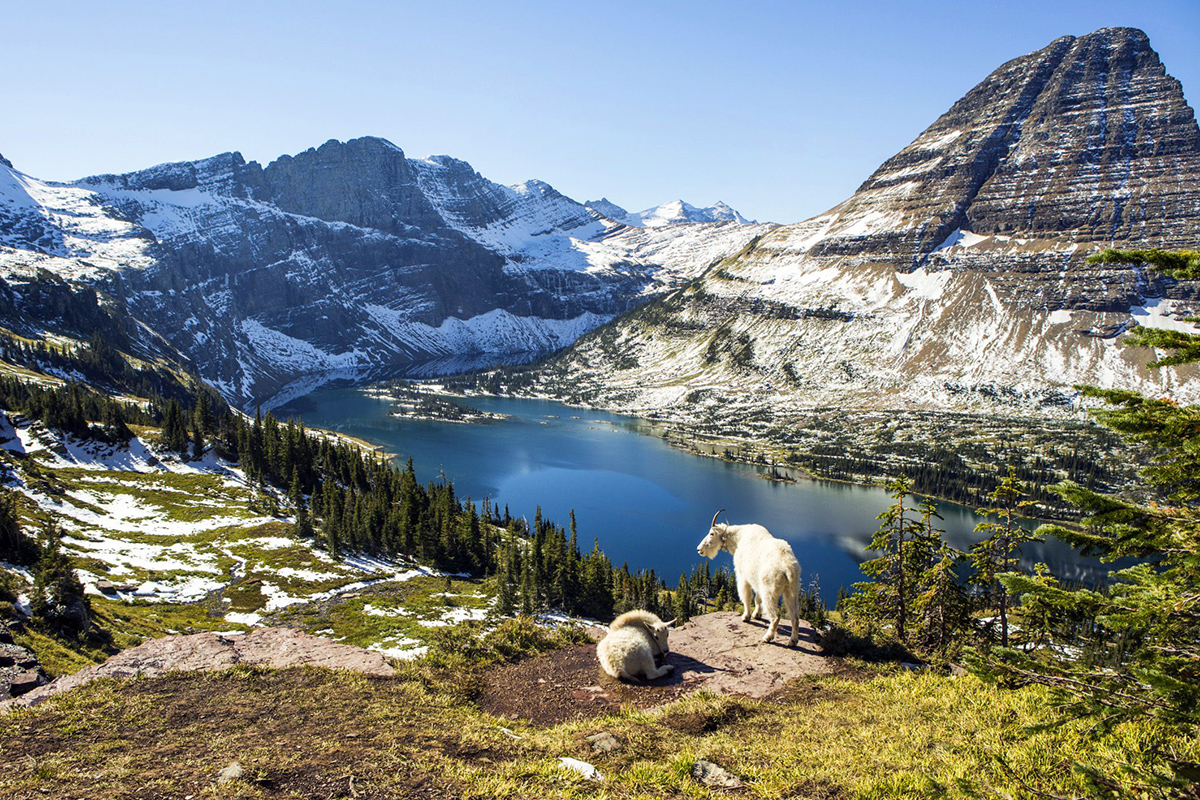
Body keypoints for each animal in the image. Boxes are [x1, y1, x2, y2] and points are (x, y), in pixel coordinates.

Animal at [700, 510, 801, 647]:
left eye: (711, 533)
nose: (699, 549)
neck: (737, 539)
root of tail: (787, 566)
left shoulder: (743, 576)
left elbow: (747, 597)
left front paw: (746, 616)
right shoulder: (756, 581)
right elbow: (757, 599)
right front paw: (756, 615)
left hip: (770, 591)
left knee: (775, 617)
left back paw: (767, 637)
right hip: (791, 590)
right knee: (795, 617)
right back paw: (793, 641)